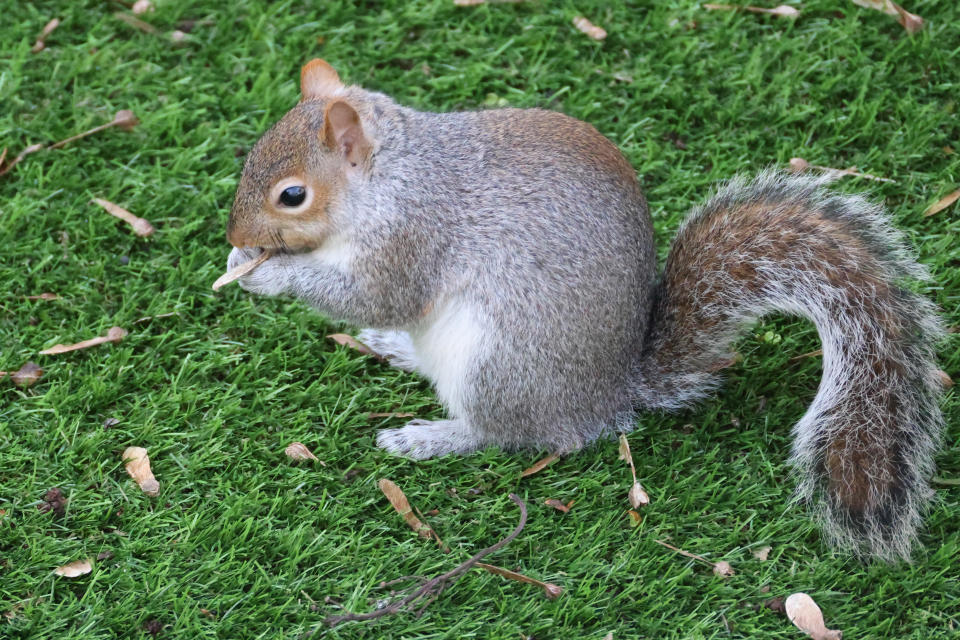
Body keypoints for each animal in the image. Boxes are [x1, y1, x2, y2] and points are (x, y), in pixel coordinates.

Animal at [223, 60, 944, 560]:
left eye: (292, 195)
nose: (234, 235)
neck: (388, 179)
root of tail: (610, 393)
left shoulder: (412, 236)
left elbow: (377, 294)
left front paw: (271, 275)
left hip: (498, 363)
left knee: (509, 433)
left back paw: (431, 437)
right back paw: (396, 348)